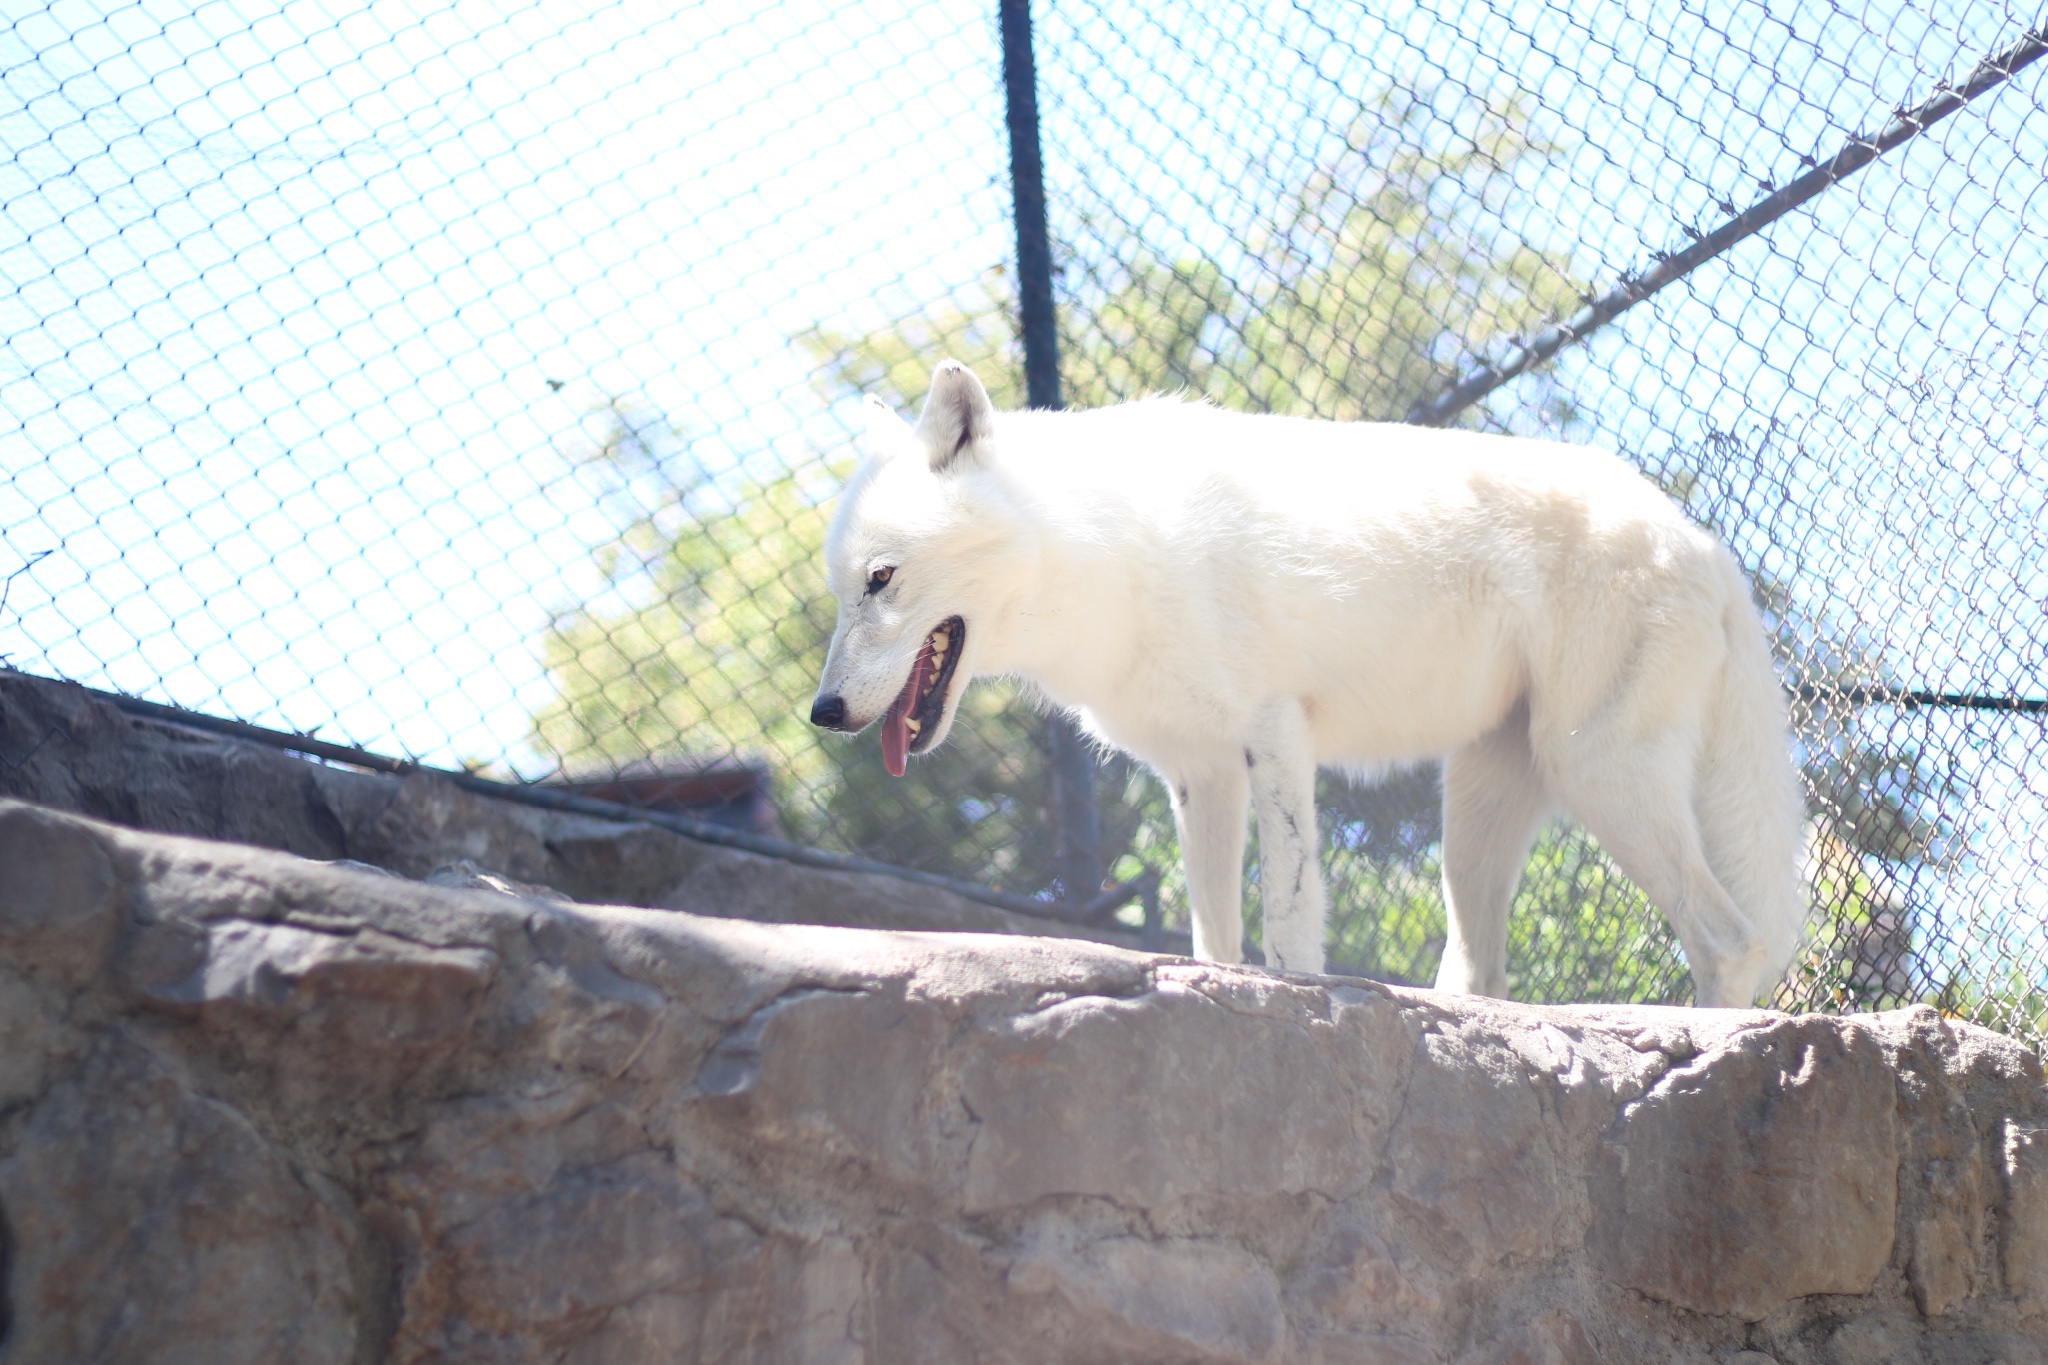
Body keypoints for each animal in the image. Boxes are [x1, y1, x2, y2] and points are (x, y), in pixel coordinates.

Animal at [806, 360, 1802, 1002]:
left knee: (1733, 943)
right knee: (1483, 973)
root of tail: (1706, 542)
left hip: (1594, 773)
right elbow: (1213, 936)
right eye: (842, 589)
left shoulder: (1274, 733)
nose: (823, 711)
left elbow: (1286, 917)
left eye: (882, 578)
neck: (1108, 551)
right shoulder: (1200, 774)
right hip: (1479, 808)